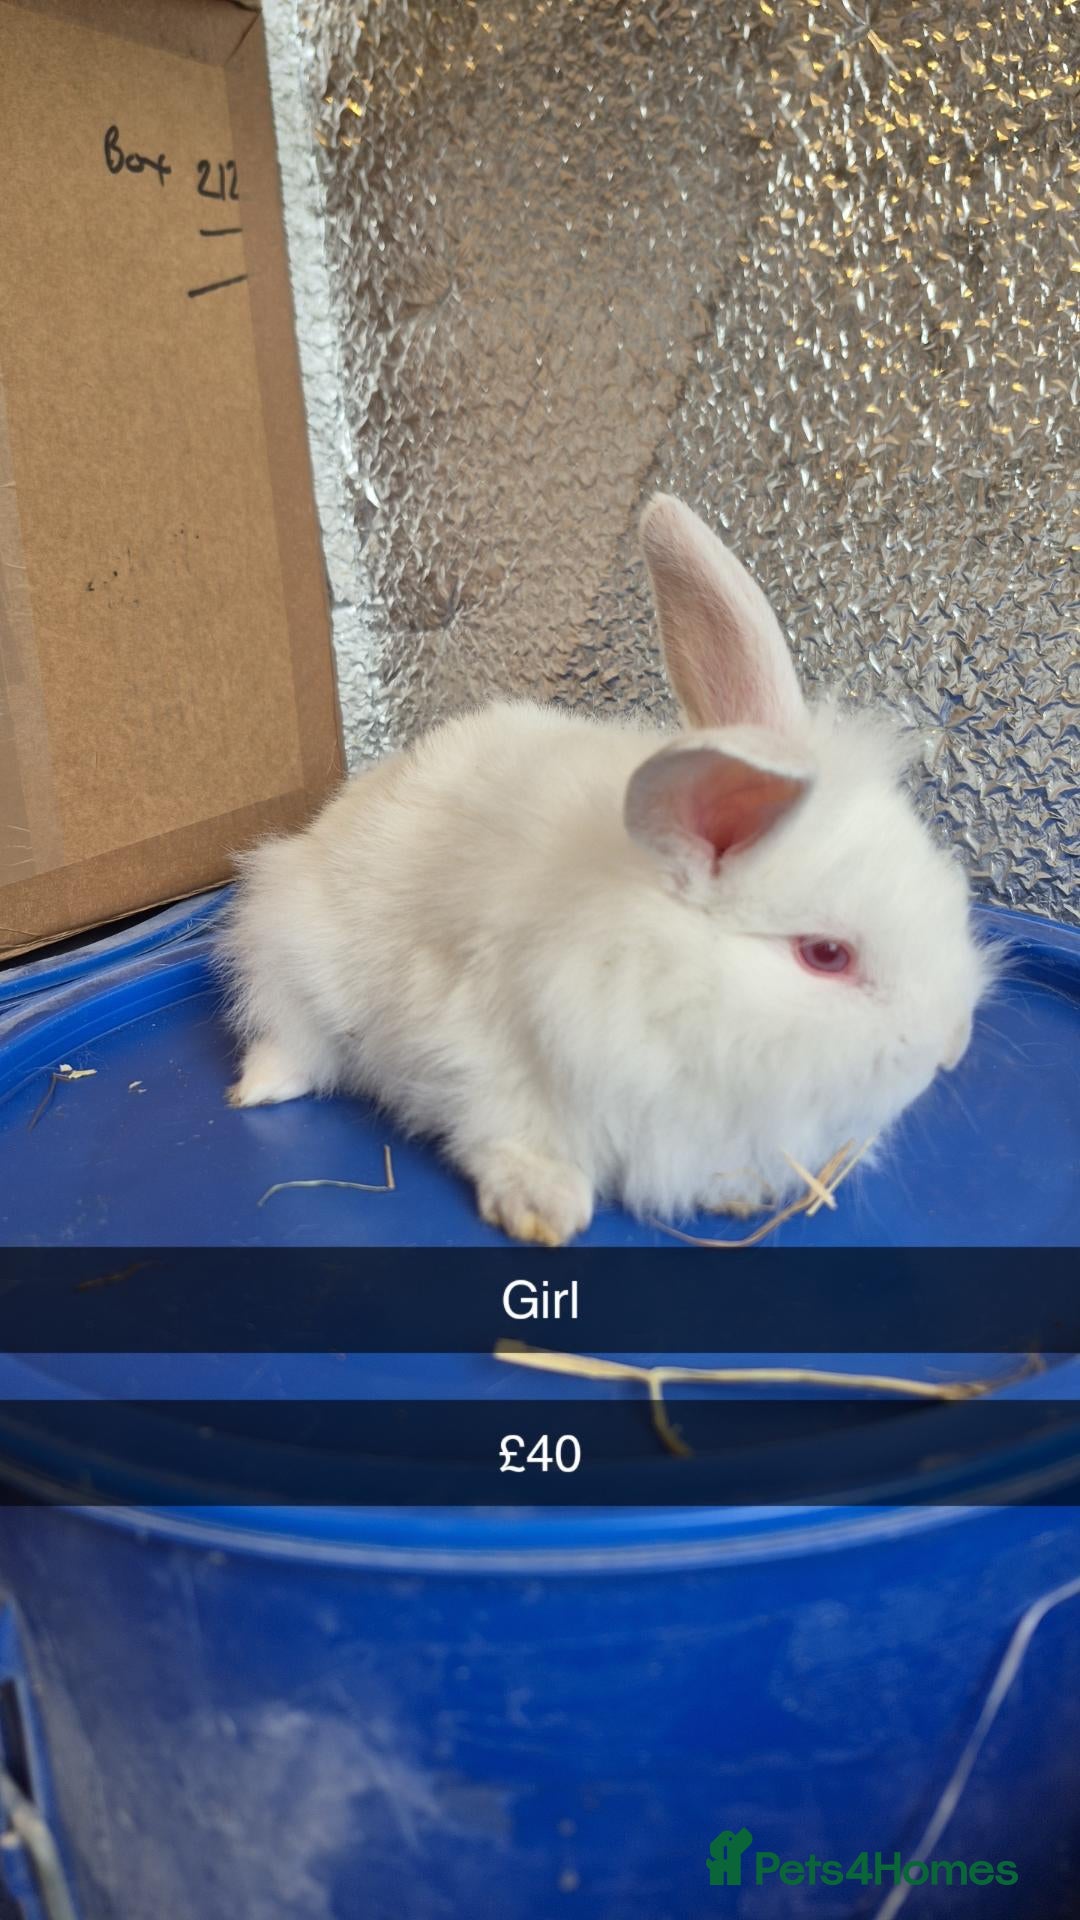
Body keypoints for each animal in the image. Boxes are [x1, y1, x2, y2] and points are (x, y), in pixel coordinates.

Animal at [220, 495, 990, 1245]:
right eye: (826, 955)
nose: (952, 1049)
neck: (665, 964)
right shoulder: (486, 1059)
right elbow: (511, 1140)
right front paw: (546, 1211)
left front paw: (739, 1193)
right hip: (288, 951)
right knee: (290, 1039)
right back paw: (257, 1090)